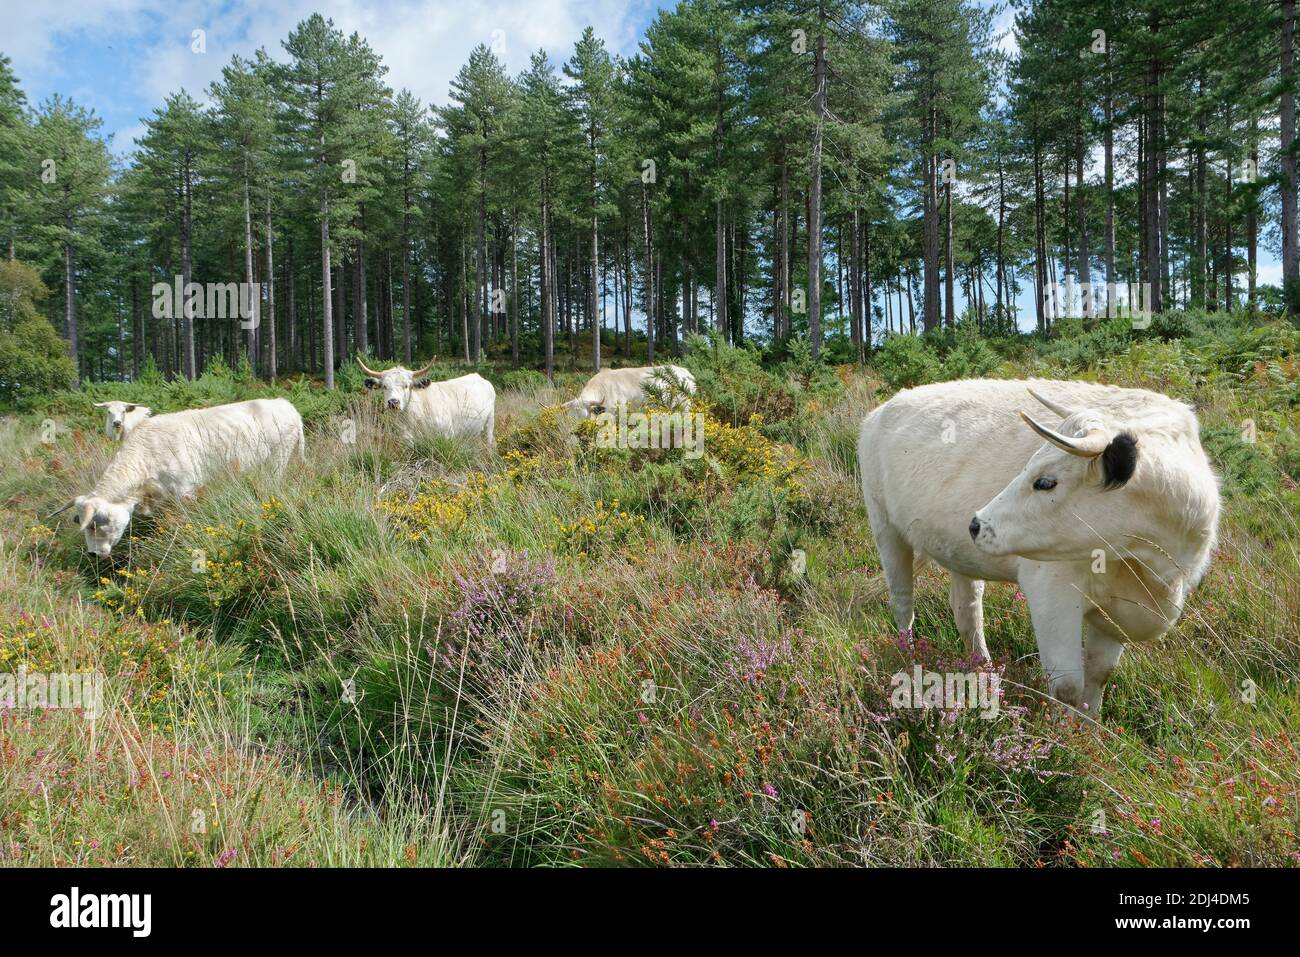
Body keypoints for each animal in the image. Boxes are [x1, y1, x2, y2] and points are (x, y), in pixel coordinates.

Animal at [361, 356, 496, 447]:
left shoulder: (447, 434)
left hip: (490, 421)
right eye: (384, 386)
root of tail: (480, 377)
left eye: (406, 385)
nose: (393, 402)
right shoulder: (406, 438)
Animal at [863, 377, 1216, 712]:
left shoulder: (1116, 615)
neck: (1151, 570)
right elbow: (1067, 687)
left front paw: (1089, 728)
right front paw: (1063, 733)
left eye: (1045, 482)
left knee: (968, 612)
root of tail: (888, 406)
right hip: (886, 530)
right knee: (903, 603)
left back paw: (985, 674)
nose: (976, 524)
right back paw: (910, 659)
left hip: (957, 554)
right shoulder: (1052, 590)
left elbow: (1099, 675)